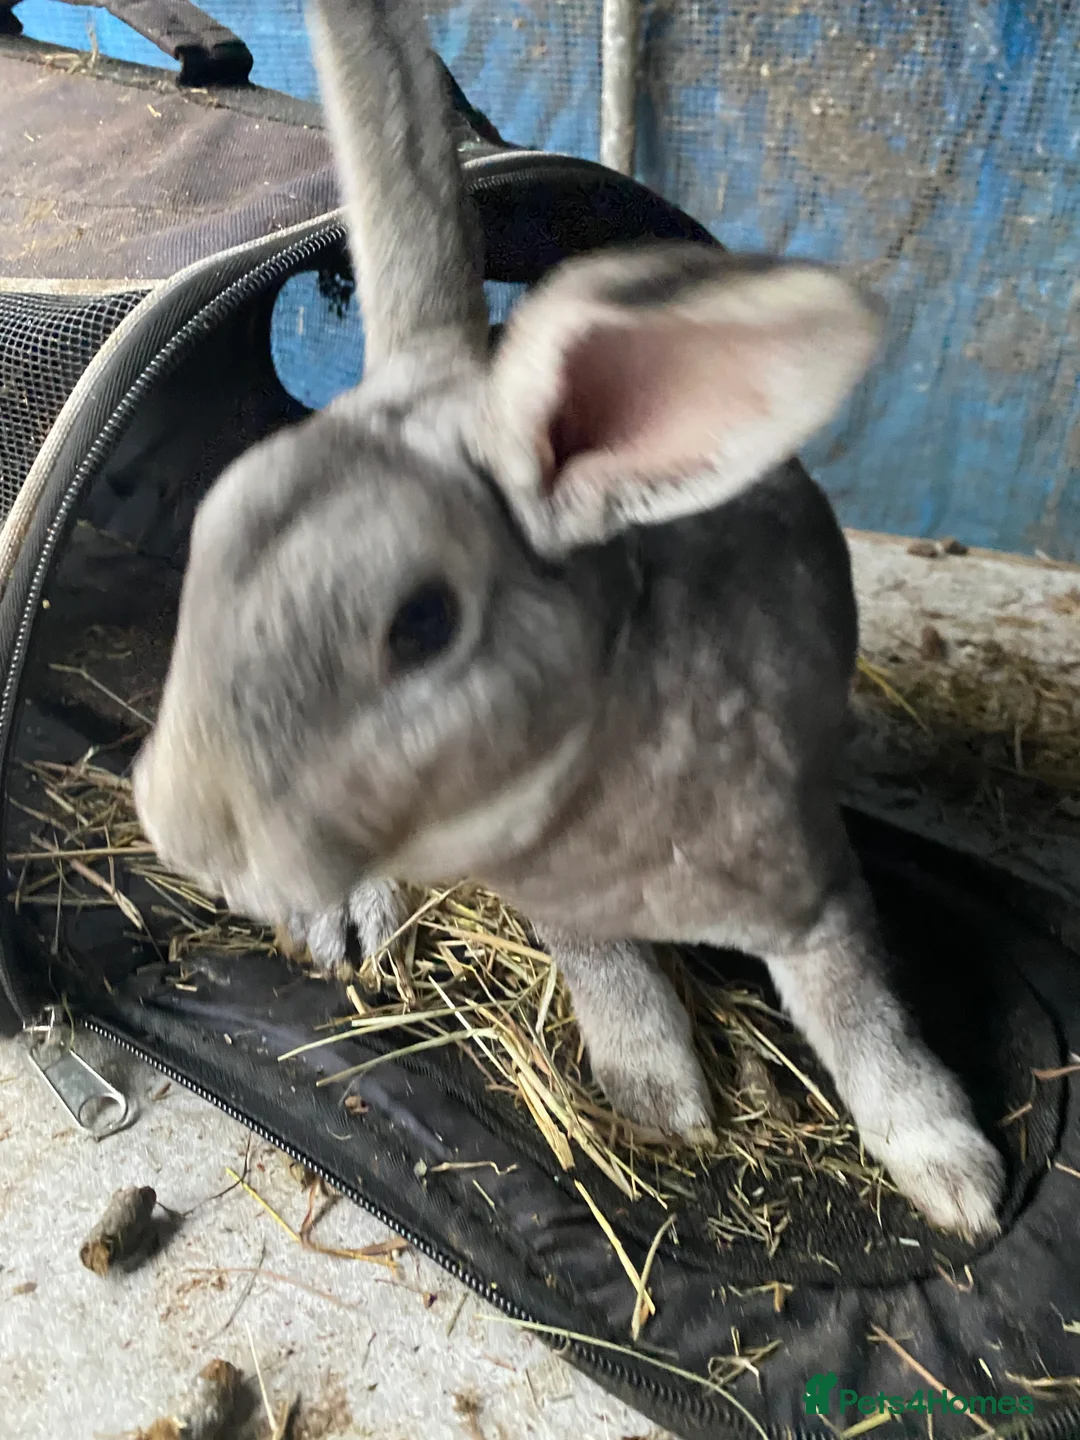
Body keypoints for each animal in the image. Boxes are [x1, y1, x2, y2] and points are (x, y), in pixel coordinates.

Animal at [133, 0, 1005, 1239]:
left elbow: (861, 1015)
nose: (180, 829)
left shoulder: (813, 881)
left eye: (423, 624)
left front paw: (957, 1181)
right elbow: (612, 975)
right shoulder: (566, 911)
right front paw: (660, 1099)